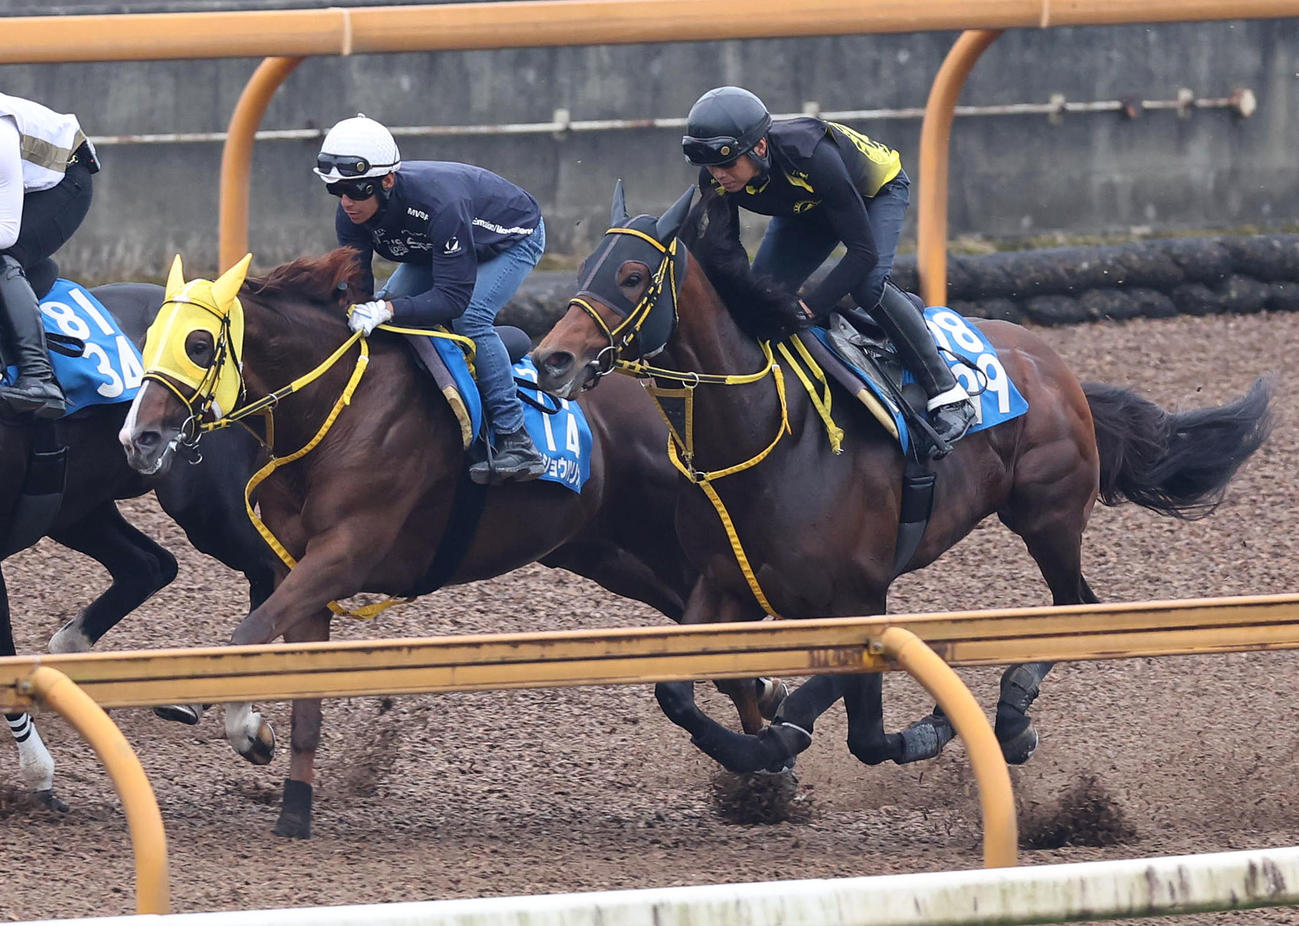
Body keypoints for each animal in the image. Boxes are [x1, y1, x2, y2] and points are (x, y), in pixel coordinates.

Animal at [3, 278, 276, 813]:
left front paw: (39, 774)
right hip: (76, 506)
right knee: (150, 566)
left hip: (209, 507)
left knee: (274, 572)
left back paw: (239, 719)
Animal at [116, 247, 785, 839]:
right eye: (148, 339)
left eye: (199, 344)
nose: (138, 437)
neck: (338, 405)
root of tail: (661, 410)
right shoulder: (300, 570)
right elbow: (299, 691)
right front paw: (292, 805)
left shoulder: (342, 556)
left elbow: (249, 634)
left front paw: (235, 722)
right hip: (609, 555)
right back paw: (766, 734)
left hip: (662, 540)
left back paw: (769, 766)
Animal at [530, 183, 1274, 777]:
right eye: (586, 266)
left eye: (631, 275)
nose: (550, 358)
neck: (765, 438)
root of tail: (1055, 364)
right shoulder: (721, 583)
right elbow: (678, 692)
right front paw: (761, 743)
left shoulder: (859, 594)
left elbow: (858, 726)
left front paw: (924, 726)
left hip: (1047, 516)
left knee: (1075, 608)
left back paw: (1012, 715)